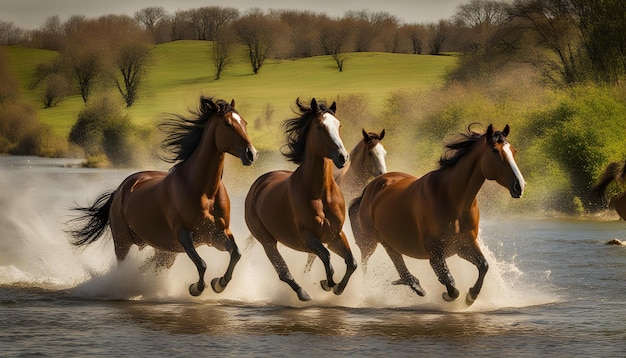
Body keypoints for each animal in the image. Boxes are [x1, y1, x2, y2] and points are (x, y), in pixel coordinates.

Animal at [66, 96, 256, 298]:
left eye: (244, 122)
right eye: (227, 124)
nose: (251, 153)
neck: (204, 191)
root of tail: (120, 190)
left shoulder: (217, 234)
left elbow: (236, 253)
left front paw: (218, 283)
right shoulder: (184, 235)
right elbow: (202, 264)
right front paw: (195, 288)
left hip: (165, 250)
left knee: (149, 266)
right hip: (123, 242)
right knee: (125, 266)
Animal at [244, 96, 356, 300]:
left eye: (339, 125)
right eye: (320, 126)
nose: (342, 157)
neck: (319, 193)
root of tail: (258, 185)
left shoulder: (334, 235)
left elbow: (351, 262)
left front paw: (337, 288)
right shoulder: (308, 237)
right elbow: (326, 257)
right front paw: (327, 284)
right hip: (266, 240)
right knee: (283, 271)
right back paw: (303, 293)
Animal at [348, 124, 524, 304]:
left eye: (514, 150)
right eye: (495, 151)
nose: (519, 185)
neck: (452, 199)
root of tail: (370, 188)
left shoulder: (464, 244)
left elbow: (483, 265)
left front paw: (471, 296)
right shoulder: (435, 251)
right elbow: (448, 279)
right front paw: (449, 295)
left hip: (386, 239)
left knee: (394, 255)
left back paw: (415, 285)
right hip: (369, 242)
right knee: (366, 264)